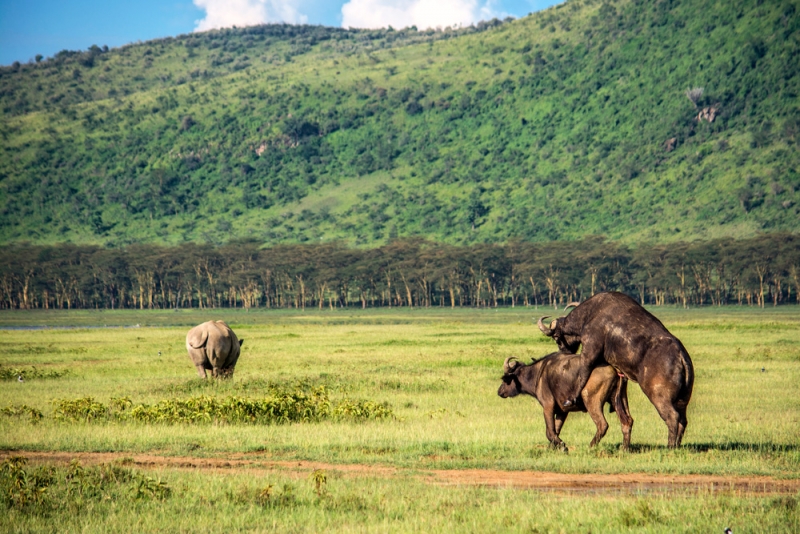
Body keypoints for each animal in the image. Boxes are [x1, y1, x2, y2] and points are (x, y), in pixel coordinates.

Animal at [494, 356, 632, 452]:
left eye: (505, 379)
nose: (499, 391)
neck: (538, 374)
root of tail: (614, 368)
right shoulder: (562, 411)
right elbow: (556, 429)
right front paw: (553, 447)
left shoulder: (548, 407)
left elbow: (550, 431)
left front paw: (562, 446)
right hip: (619, 400)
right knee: (627, 421)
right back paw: (624, 449)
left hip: (592, 401)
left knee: (602, 424)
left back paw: (590, 446)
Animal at [536, 294, 692, 448]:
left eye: (557, 338)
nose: (563, 351)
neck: (590, 314)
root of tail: (680, 355)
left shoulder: (589, 350)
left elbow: (583, 372)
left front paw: (572, 398)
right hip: (683, 400)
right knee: (683, 420)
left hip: (658, 396)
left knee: (672, 417)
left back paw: (670, 446)